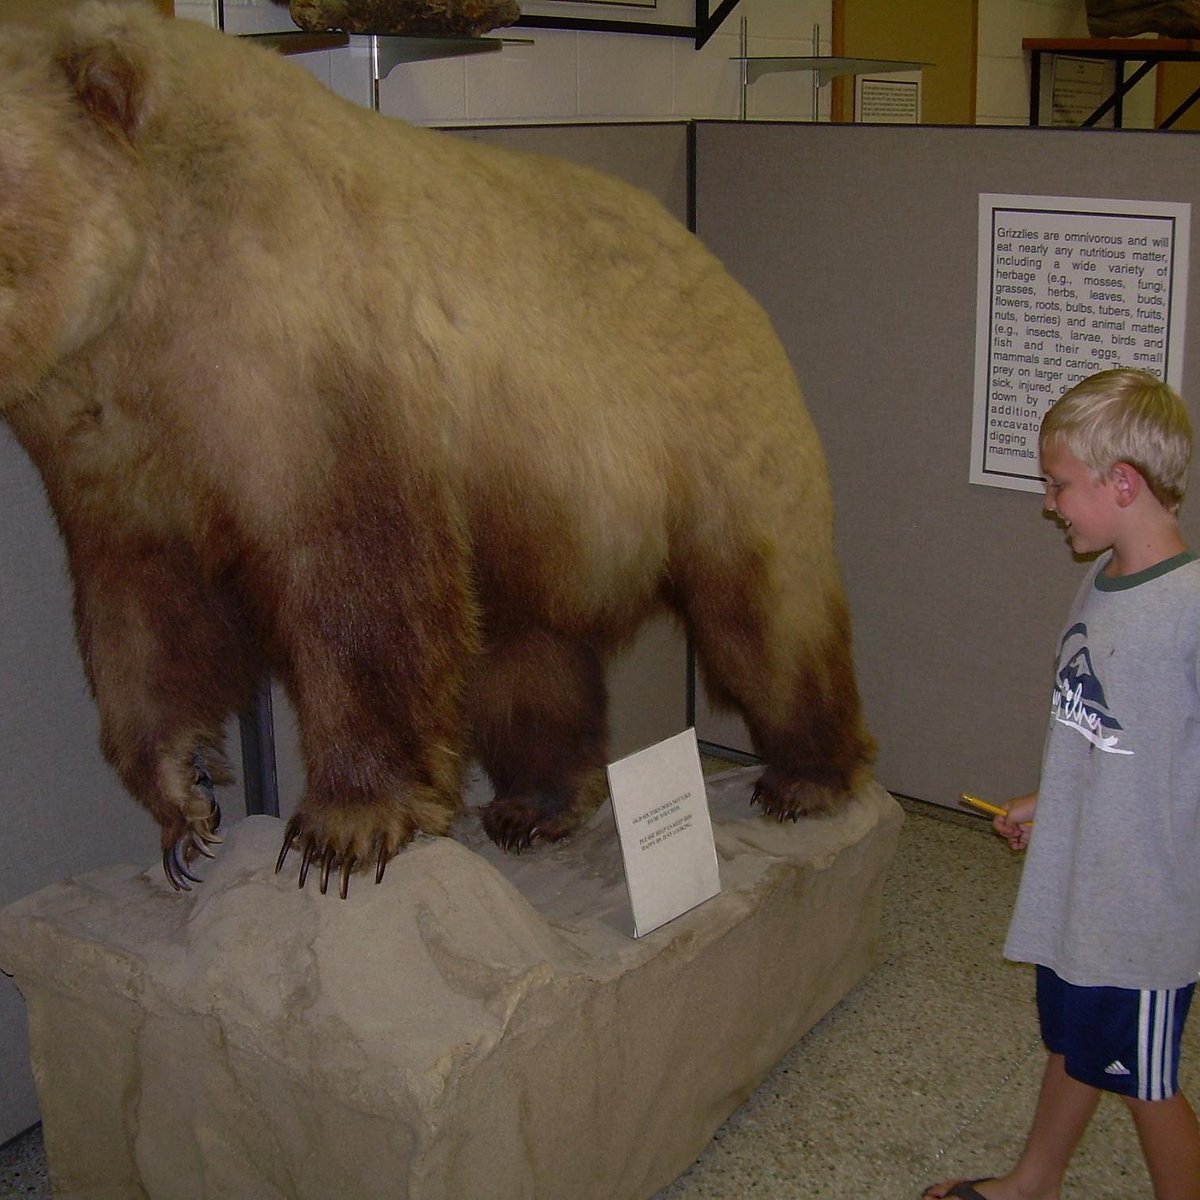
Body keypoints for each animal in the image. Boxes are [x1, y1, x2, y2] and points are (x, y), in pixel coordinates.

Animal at [0, 4, 873, 897]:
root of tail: (710, 254)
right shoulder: (112, 443)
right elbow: (140, 616)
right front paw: (186, 808)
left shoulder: (313, 370)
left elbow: (360, 586)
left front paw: (342, 828)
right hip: (523, 509)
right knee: (523, 652)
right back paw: (537, 801)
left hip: (713, 426)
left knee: (765, 608)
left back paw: (808, 776)